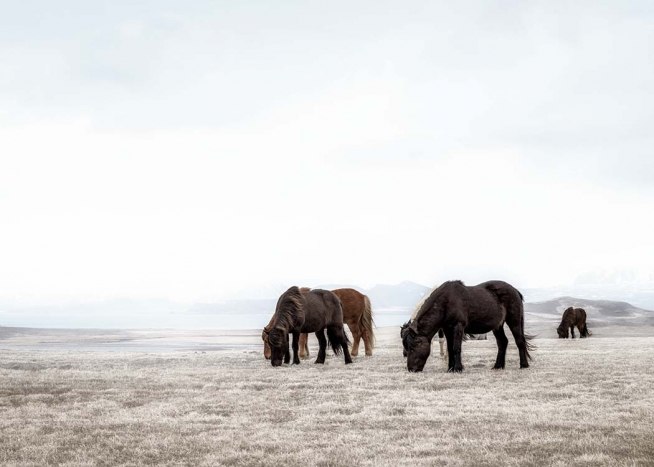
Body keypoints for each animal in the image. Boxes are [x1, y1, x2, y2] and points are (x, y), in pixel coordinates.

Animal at [403, 280, 534, 372]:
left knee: (519, 341)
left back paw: (524, 365)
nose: (411, 369)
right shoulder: (447, 329)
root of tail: (515, 290)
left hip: (514, 321)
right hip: (498, 326)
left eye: (413, 347)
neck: (446, 302)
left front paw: (458, 368)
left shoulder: (458, 327)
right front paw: (450, 368)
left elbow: (456, 348)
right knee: (503, 342)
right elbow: (450, 348)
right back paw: (498, 366)